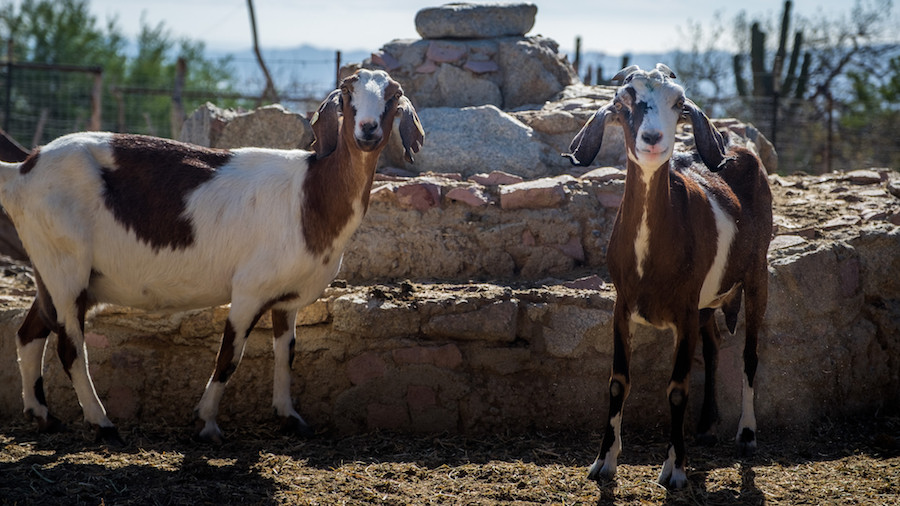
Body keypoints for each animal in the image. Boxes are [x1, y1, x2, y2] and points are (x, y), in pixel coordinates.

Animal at [0, 69, 426, 444]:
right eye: (348, 92)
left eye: (394, 95)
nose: (367, 130)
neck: (310, 194)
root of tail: (23, 168)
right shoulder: (250, 289)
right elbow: (229, 357)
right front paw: (206, 423)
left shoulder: (287, 299)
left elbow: (286, 353)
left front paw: (289, 416)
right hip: (65, 266)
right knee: (70, 347)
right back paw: (102, 425)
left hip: (54, 270)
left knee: (29, 333)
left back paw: (41, 415)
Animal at [568, 63, 768, 486]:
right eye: (623, 102)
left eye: (679, 103)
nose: (653, 139)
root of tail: (740, 147)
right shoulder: (623, 307)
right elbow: (618, 382)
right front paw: (604, 462)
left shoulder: (684, 312)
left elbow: (677, 388)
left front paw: (674, 470)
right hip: (707, 303)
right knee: (713, 347)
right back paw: (706, 427)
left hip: (758, 273)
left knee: (749, 353)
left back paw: (745, 434)